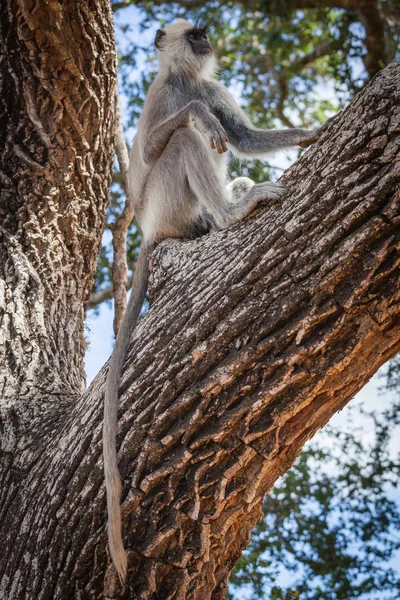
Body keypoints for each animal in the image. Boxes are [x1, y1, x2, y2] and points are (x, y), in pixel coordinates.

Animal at [103, 17, 322, 580]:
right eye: (194, 35)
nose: (207, 41)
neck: (186, 78)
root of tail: (150, 231)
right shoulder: (164, 96)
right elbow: (162, 141)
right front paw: (198, 118)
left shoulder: (210, 86)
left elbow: (242, 137)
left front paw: (312, 132)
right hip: (164, 203)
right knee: (181, 141)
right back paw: (228, 212)